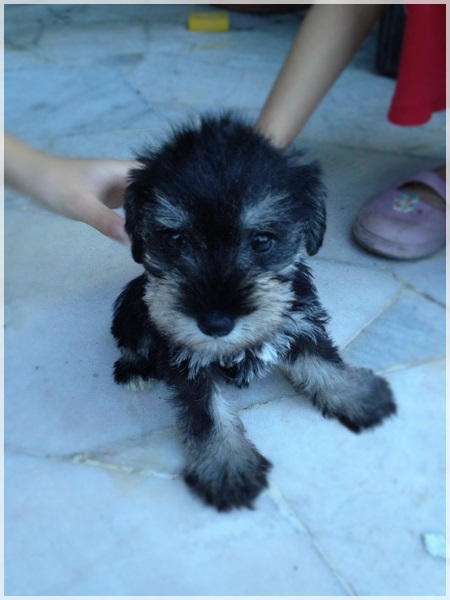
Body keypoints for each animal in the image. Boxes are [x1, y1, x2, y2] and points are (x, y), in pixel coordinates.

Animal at [111, 112, 396, 511]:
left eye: (262, 240)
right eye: (175, 239)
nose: (215, 323)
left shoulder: (301, 323)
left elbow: (323, 363)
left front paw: (359, 395)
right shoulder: (188, 361)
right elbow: (208, 415)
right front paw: (228, 467)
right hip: (133, 305)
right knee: (131, 339)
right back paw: (134, 367)